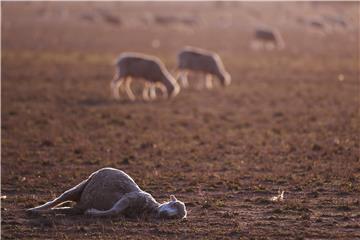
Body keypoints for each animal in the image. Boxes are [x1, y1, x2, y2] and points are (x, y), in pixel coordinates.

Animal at [26, 167, 187, 219]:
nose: (165, 214)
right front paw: (93, 213)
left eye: (176, 217)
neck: (149, 208)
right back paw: (34, 209)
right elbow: (114, 210)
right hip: (82, 186)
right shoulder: (129, 197)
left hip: (78, 206)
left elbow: (115, 212)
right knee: (59, 199)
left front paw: (91, 212)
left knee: (65, 209)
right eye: (173, 204)